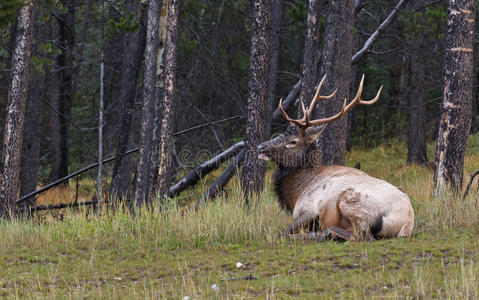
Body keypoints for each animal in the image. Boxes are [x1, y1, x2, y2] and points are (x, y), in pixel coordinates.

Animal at [258, 75, 416, 241]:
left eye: (292, 141)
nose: (261, 147)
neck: (296, 193)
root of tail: (407, 220)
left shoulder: (310, 209)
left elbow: (283, 231)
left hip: (350, 201)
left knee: (362, 236)